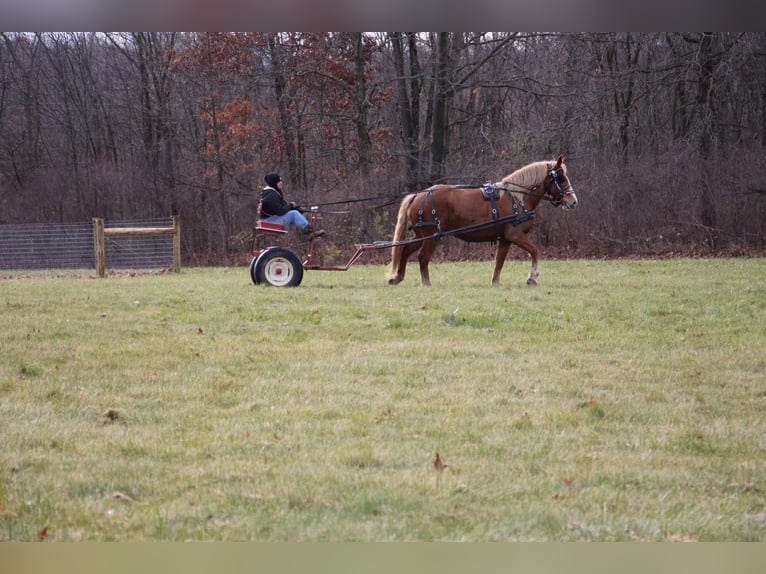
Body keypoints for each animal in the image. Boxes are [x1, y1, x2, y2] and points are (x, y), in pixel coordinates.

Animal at [388, 156, 580, 288]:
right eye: (561, 178)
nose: (573, 201)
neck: (517, 198)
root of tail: (418, 195)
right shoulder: (515, 235)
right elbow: (535, 251)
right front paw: (532, 277)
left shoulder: (505, 239)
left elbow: (499, 261)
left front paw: (495, 282)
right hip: (431, 236)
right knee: (423, 257)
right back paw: (426, 282)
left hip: (421, 234)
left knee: (405, 250)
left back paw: (397, 277)